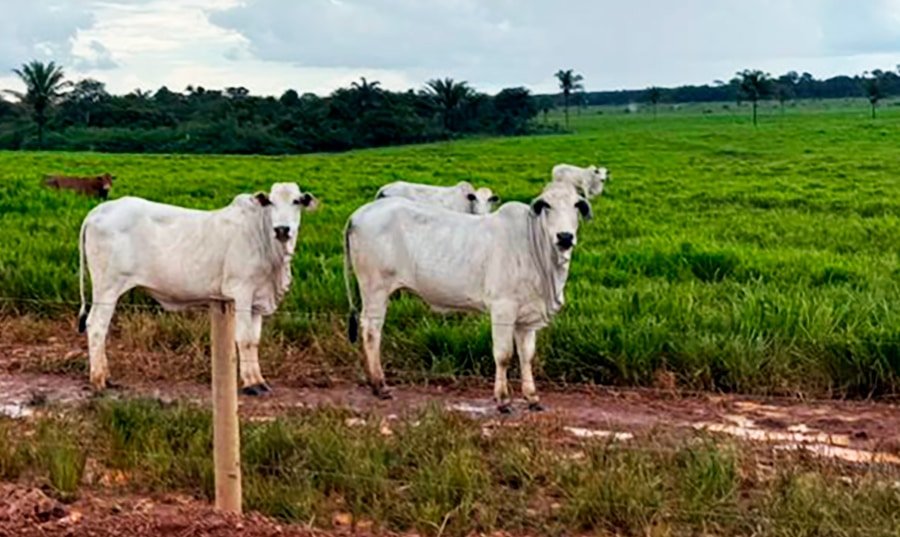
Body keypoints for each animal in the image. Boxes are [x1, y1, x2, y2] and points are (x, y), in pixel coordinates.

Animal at [77, 183, 318, 395]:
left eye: (296, 201)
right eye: (271, 202)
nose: (282, 229)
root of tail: (98, 211)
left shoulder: (258, 300)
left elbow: (254, 342)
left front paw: (259, 380)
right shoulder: (241, 292)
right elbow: (244, 339)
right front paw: (251, 384)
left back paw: (106, 376)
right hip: (107, 288)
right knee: (96, 326)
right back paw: (99, 379)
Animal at [343, 181, 592, 412]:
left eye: (577, 205)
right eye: (547, 205)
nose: (565, 236)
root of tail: (358, 214)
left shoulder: (527, 317)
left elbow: (526, 356)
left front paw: (532, 397)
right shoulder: (503, 308)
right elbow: (503, 355)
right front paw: (502, 399)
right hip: (374, 289)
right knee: (372, 331)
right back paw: (380, 385)